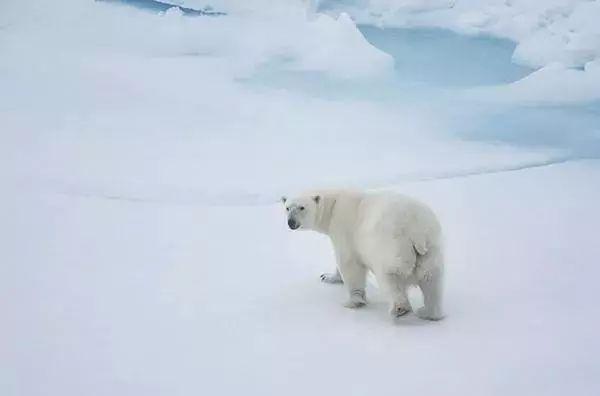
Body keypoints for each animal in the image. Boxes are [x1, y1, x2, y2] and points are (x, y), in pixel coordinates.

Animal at [282, 189, 446, 322]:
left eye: (302, 207)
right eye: (287, 208)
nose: (291, 222)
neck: (333, 206)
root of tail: (416, 232)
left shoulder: (344, 230)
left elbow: (348, 263)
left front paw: (352, 302)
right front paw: (328, 277)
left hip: (392, 247)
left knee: (390, 276)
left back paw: (400, 309)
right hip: (431, 248)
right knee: (431, 279)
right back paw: (428, 312)